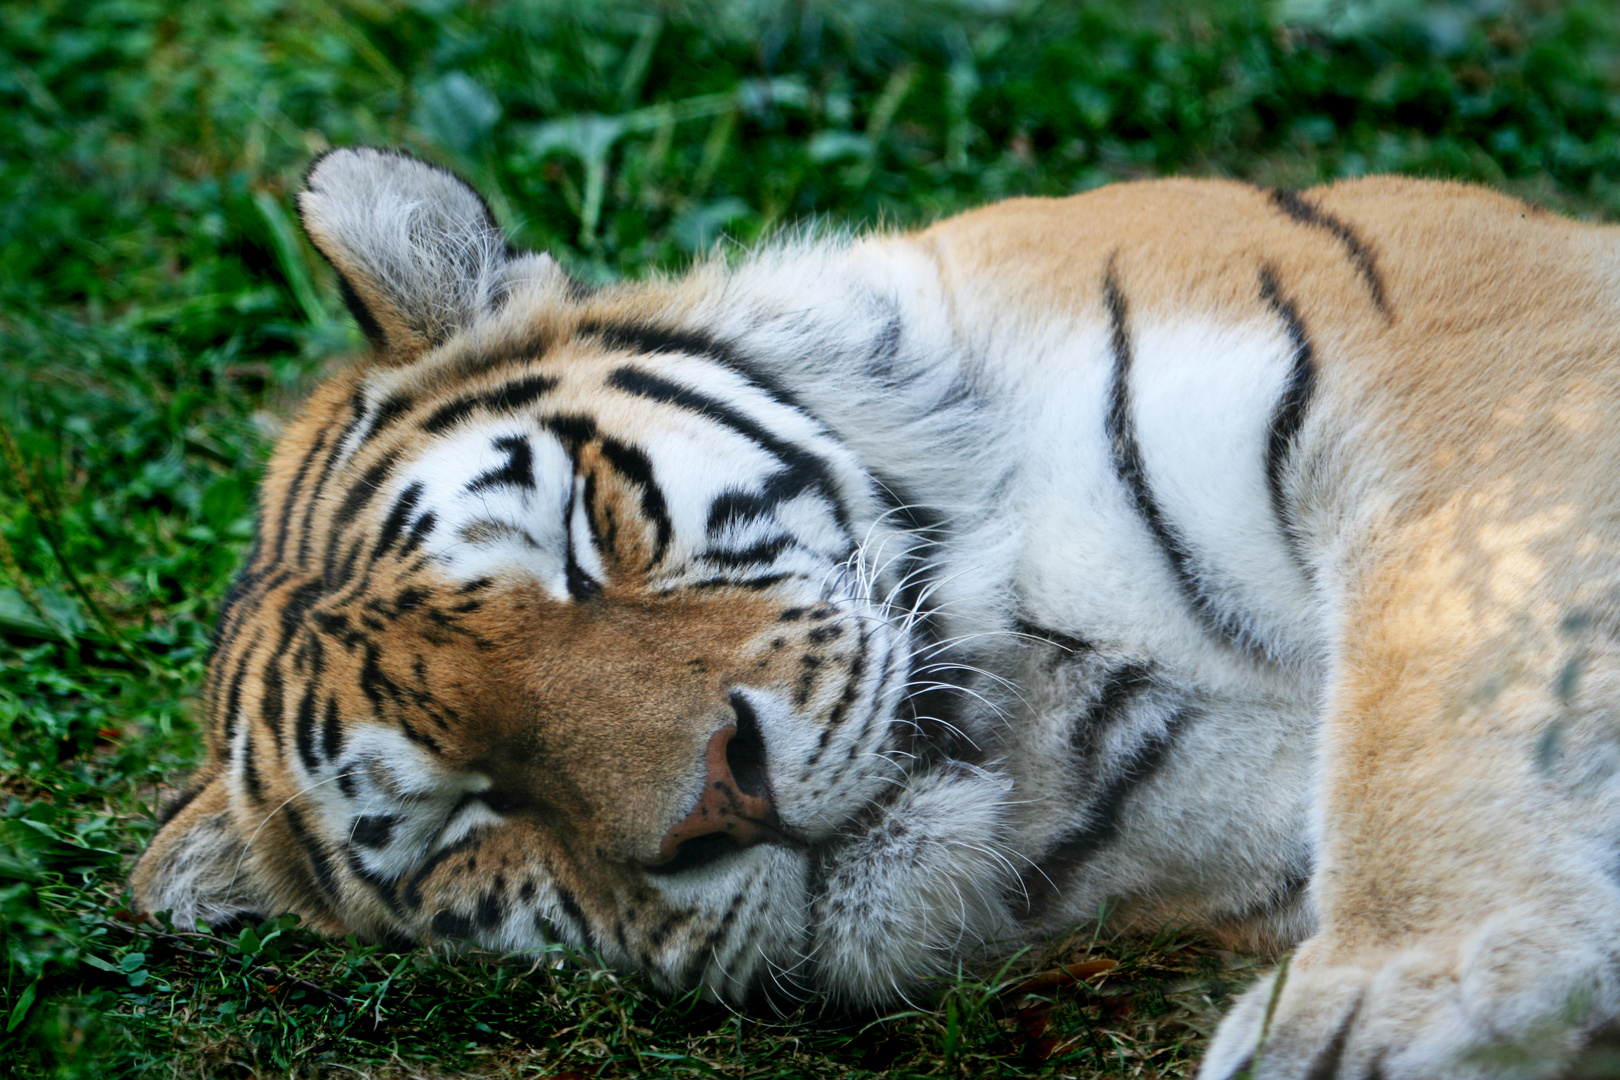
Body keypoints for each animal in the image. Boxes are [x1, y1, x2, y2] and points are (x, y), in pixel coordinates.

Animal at [129, 148, 1620, 1075]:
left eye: (584, 542)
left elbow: (1432, 703)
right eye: (474, 815)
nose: (719, 796)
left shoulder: (1458, 359)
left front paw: (1381, 1005)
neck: (1055, 675)